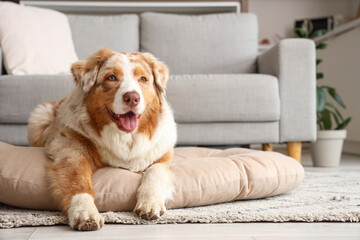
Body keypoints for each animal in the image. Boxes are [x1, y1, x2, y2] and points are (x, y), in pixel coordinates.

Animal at [27, 48, 176, 231]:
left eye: (143, 79)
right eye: (111, 77)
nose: (132, 98)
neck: (125, 138)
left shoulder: (162, 157)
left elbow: (155, 172)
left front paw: (150, 203)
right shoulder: (71, 151)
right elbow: (78, 183)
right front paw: (85, 213)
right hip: (39, 118)